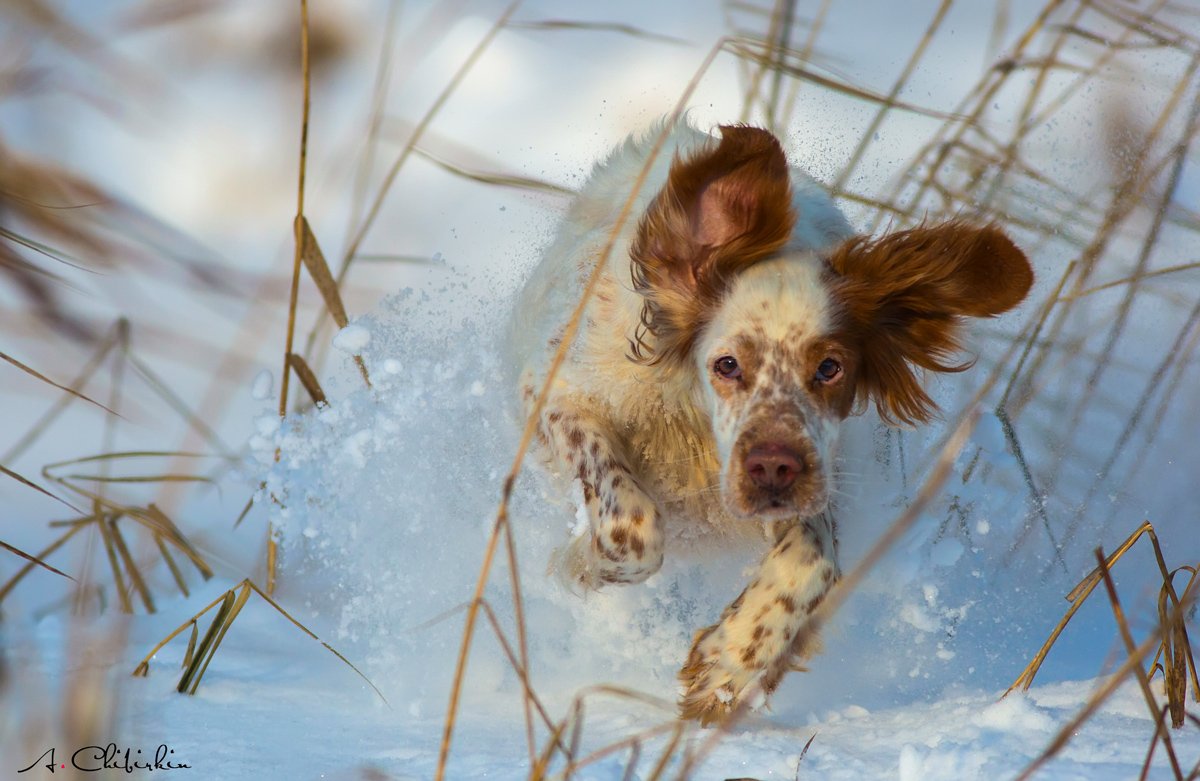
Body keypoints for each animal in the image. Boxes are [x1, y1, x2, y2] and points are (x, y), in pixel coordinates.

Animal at [511, 119, 1036, 724]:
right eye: (727, 364)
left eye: (830, 367)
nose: (772, 468)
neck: (695, 431)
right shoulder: (554, 394)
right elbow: (634, 524)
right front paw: (580, 562)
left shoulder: (816, 472)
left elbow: (811, 562)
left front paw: (727, 665)